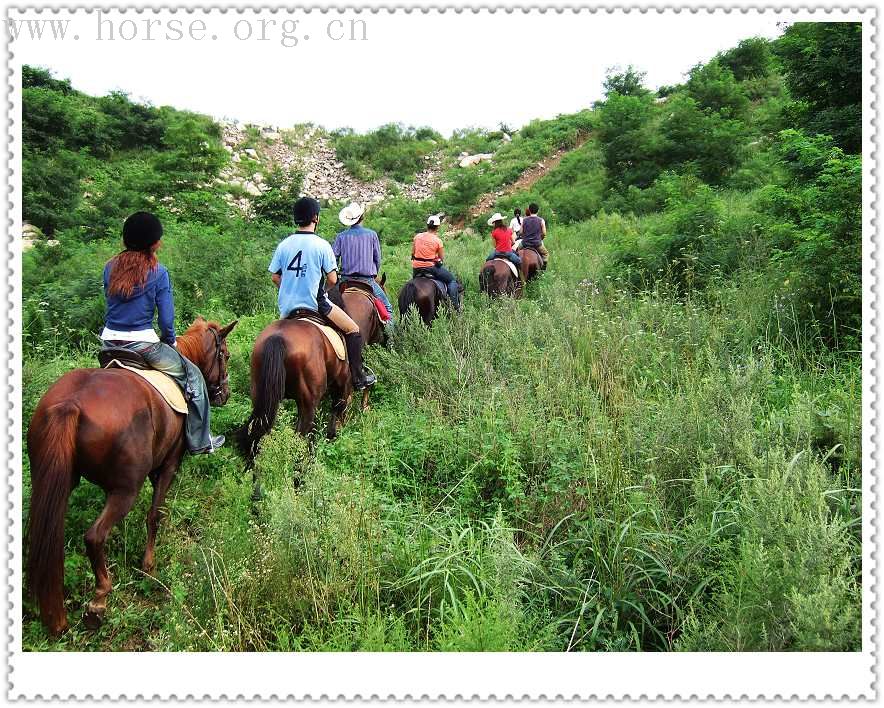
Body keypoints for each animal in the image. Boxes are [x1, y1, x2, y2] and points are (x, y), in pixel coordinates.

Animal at [26, 318, 238, 632]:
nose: (224, 394)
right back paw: (98, 602)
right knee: (94, 536)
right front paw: (148, 565)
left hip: (51, 479)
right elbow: (154, 514)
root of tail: (70, 404)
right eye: (225, 354)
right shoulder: (169, 464)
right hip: (126, 490)